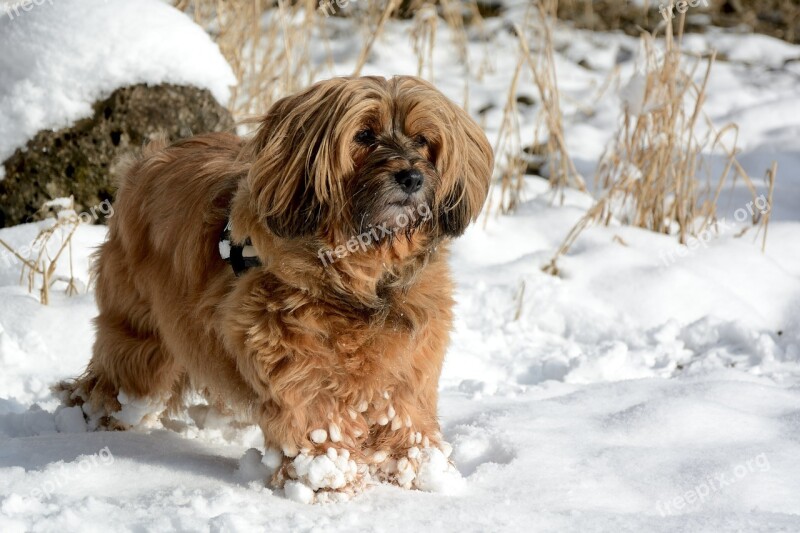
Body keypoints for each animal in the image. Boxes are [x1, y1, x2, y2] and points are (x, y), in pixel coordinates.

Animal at [57, 75, 494, 498]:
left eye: (422, 140)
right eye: (365, 135)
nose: (412, 177)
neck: (359, 276)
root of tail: (147, 160)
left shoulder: (410, 356)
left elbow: (406, 411)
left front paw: (422, 472)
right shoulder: (290, 348)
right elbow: (315, 413)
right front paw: (327, 478)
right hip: (139, 327)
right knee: (123, 371)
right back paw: (98, 418)